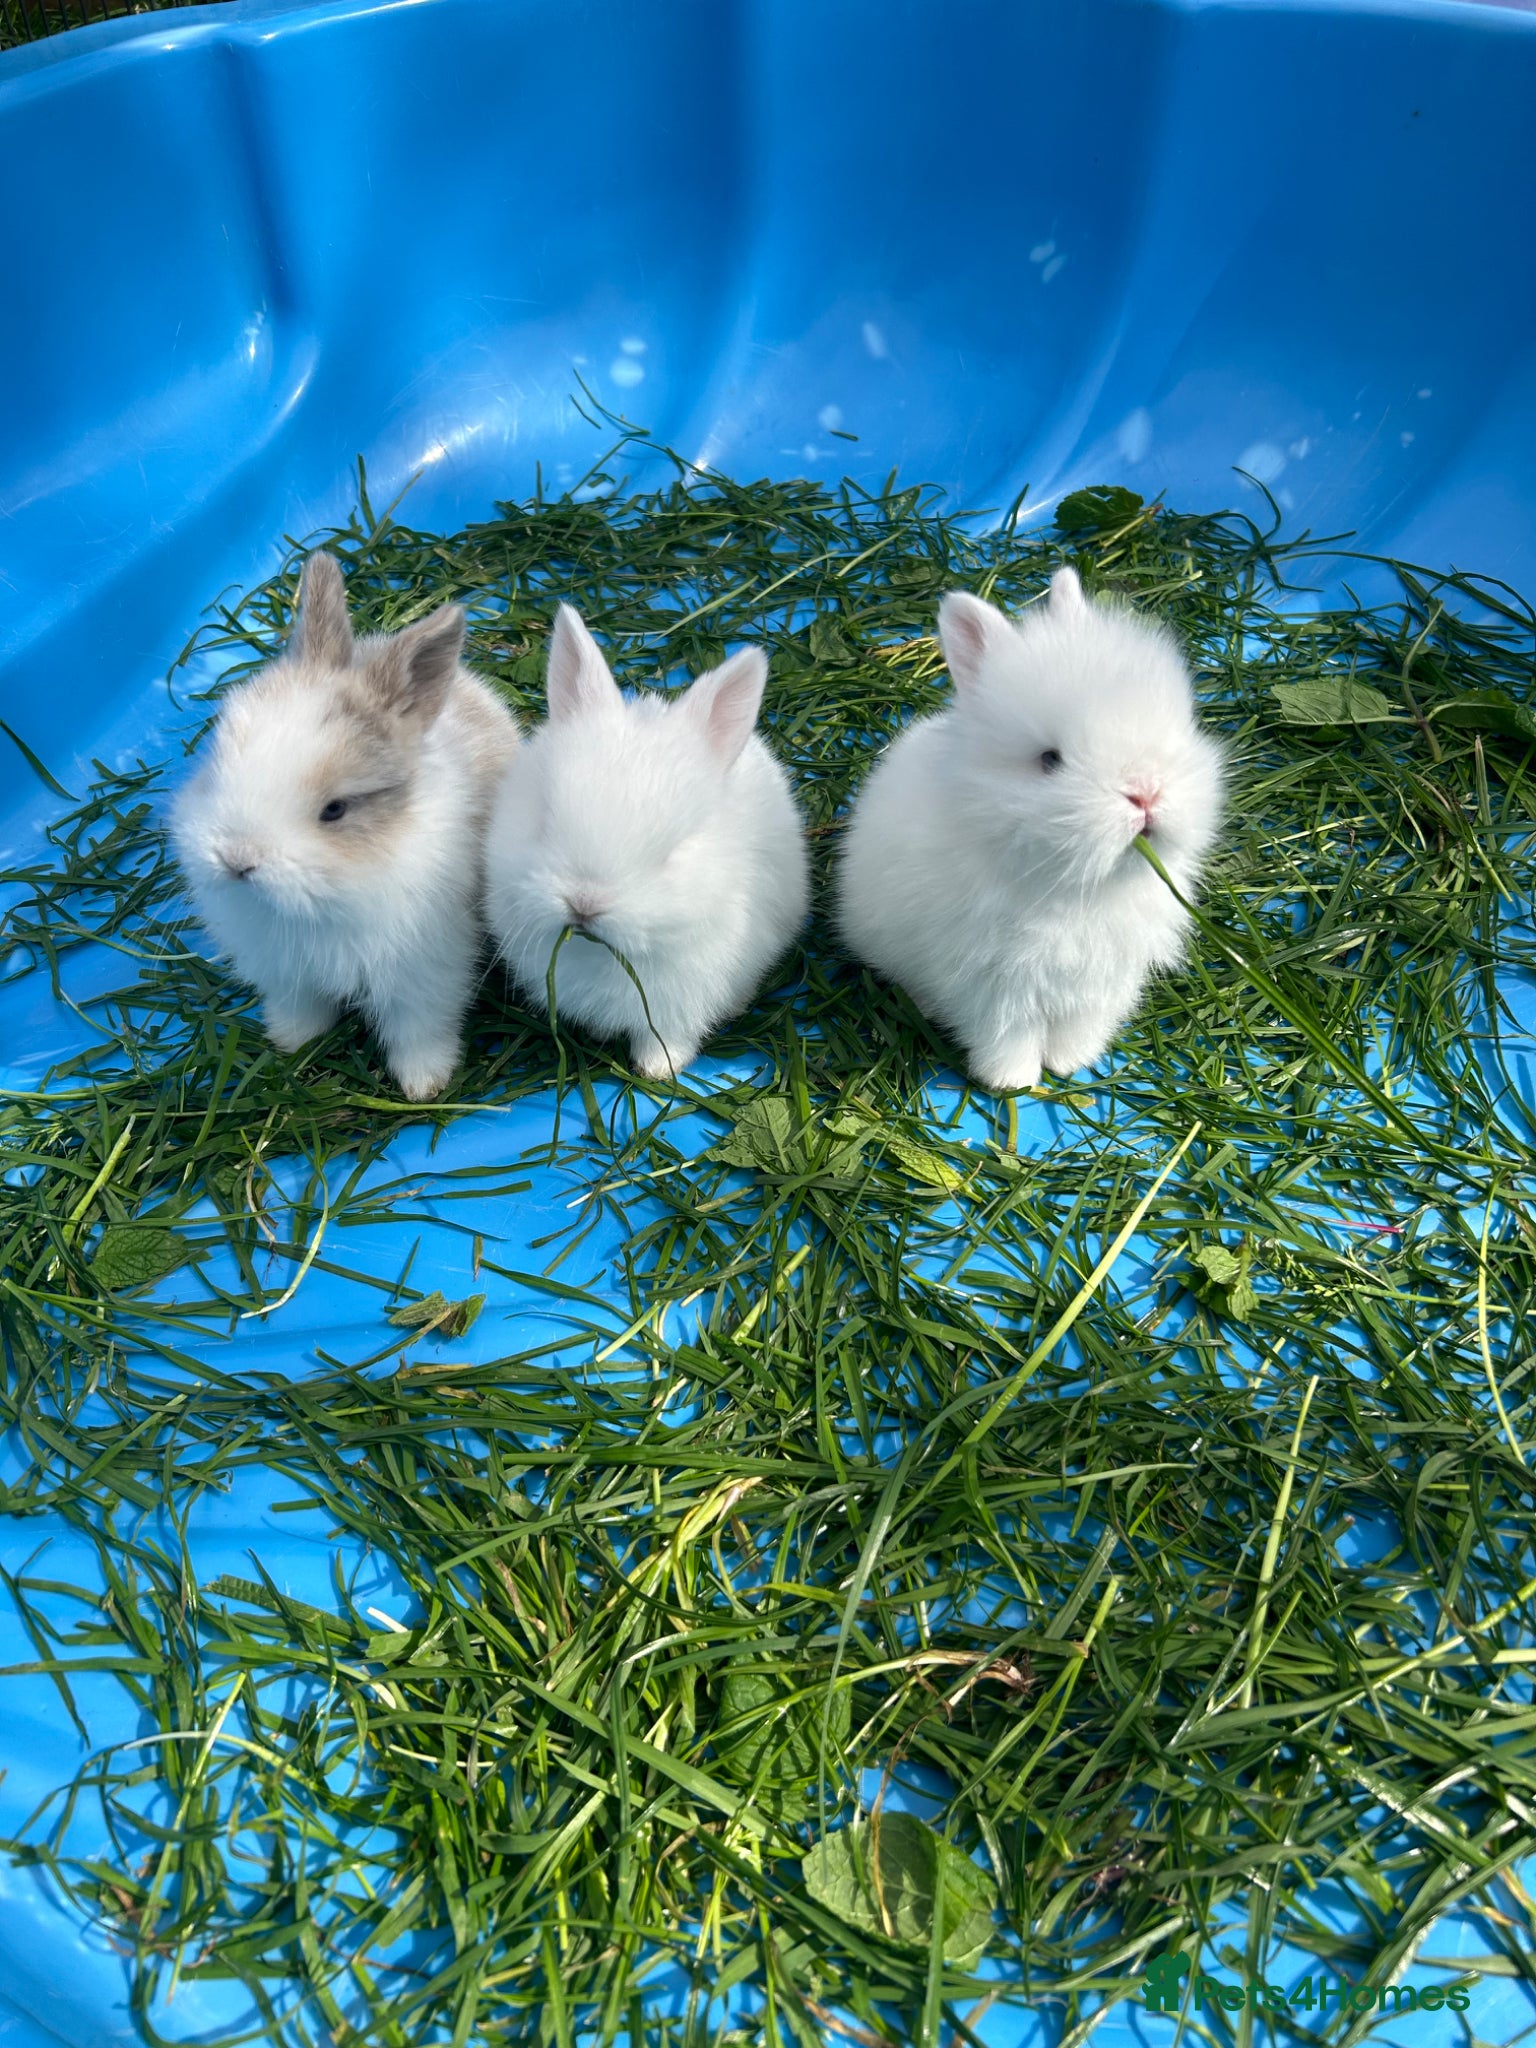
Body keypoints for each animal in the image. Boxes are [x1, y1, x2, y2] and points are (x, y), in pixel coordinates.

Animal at [170, 550, 519, 1101]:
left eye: (334, 810)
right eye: (217, 761)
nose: (237, 859)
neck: (322, 902)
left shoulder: (424, 974)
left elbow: (419, 1030)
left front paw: (424, 1085)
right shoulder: (285, 974)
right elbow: (300, 1010)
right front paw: (290, 1045)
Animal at [484, 605, 809, 1078]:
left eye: (671, 853)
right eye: (543, 820)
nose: (584, 904)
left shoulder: (682, 1005)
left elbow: (669, 1039)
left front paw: (657, 1070)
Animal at [836, 566, 1223, 1092]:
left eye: (1175, 727)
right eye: (1049, 759)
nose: (1145, 792)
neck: (1080, 891)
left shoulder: (1102, 983)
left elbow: (1080, 1024)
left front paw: (1071, 1063)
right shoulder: (994, 987)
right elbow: (1008, 1036)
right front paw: (1011, 1082)